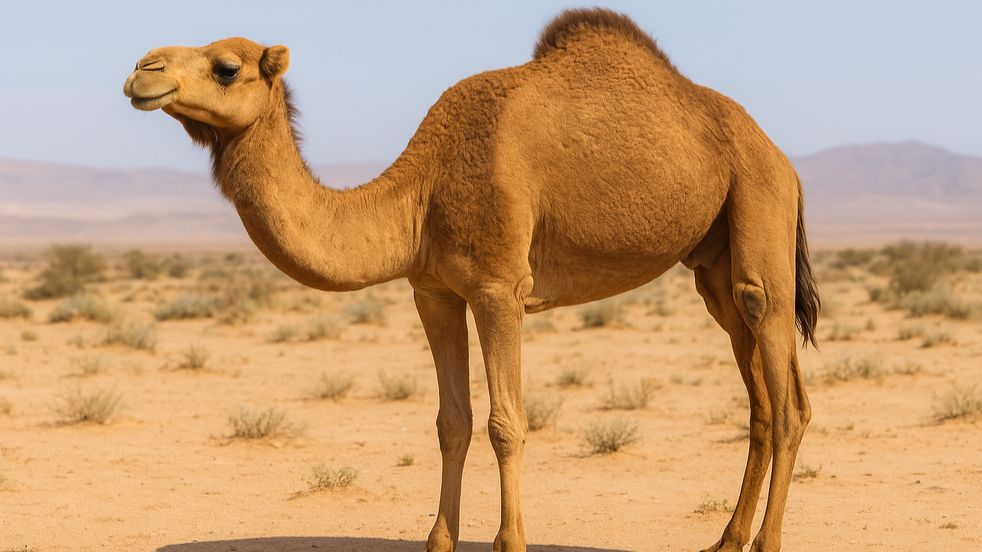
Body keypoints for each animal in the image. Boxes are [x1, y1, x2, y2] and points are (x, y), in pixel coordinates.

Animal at [123, 8, 819, 552]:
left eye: (226, 67)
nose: (142, 70)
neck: (421, 193)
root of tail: (783, 158)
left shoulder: (498, 288)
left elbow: (506, 423)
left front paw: (510, 540)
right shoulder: (432, 290)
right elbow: (450, 421)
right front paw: (439, 539)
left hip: (760, 205)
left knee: (784, 390)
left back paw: (767, 542)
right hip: (714, 267)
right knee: (760, 394)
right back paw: (726, 539)